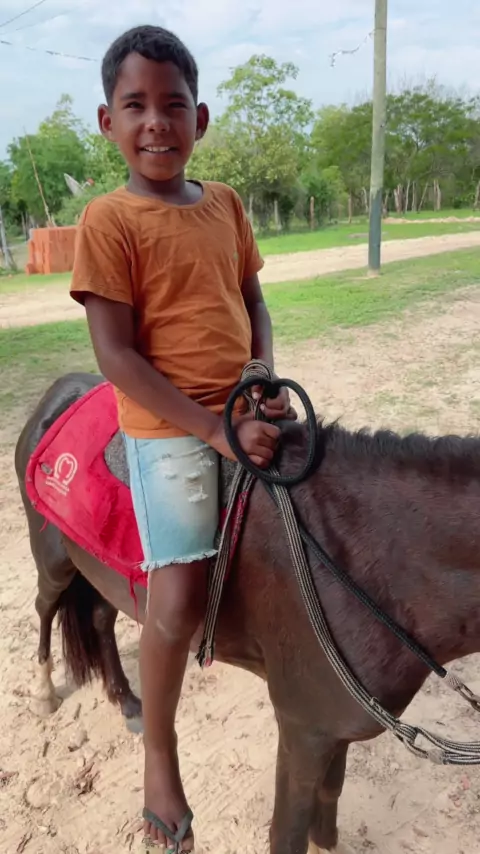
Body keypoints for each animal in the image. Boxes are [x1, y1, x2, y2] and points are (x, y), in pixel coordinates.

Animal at [14, 371, 480, 854]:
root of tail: (62, 389)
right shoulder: (304, 728)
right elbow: (288, 831)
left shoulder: (337, 724)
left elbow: (329, 797)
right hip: (54, 562)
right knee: (46, 609)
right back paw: (45, 693)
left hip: (99, 571)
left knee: (101, 620)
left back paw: (126, 701)